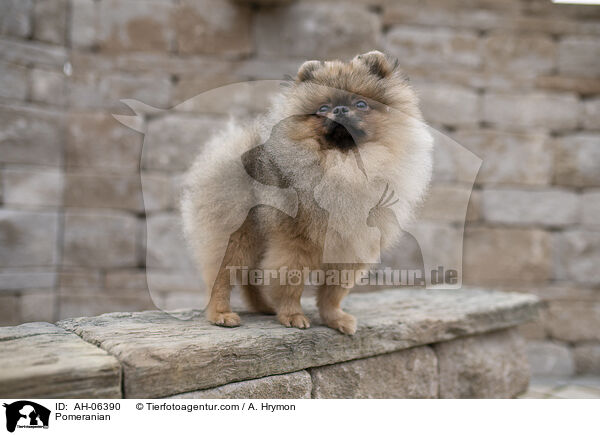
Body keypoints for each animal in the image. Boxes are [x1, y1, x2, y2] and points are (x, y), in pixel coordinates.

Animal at [180, 52, 434, 338]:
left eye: (361, 104)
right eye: (323, 108)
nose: (340, 110)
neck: (344, 165)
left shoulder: (349, 246)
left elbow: (334, 292)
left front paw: (335, 318)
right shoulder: (296, 241)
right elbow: (292, 279)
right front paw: (292, 315)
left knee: (249, 277)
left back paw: (264, 307)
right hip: (236, 233)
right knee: (221, 274)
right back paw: (221, 314)